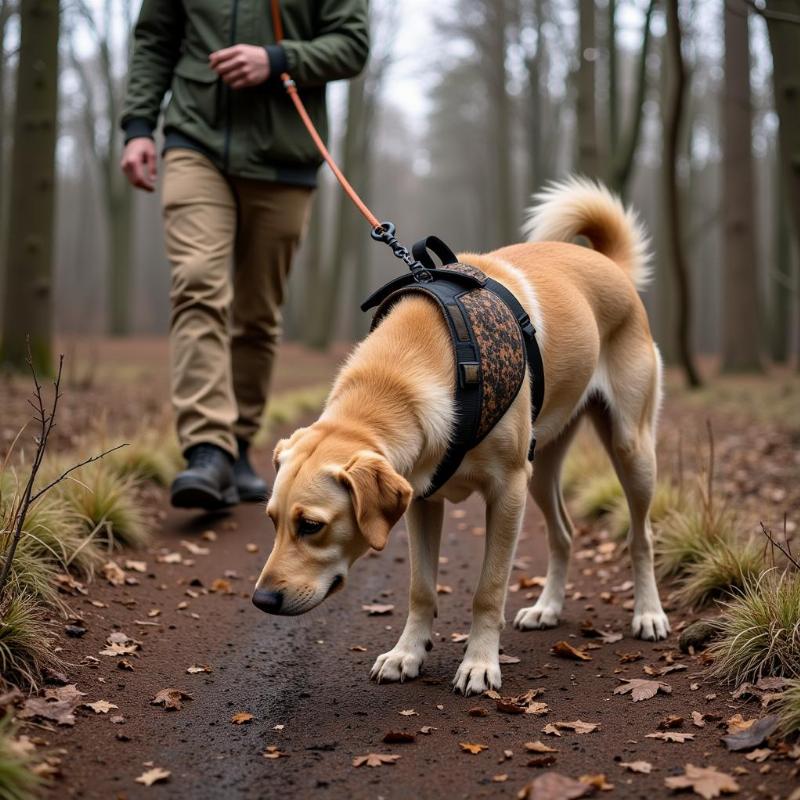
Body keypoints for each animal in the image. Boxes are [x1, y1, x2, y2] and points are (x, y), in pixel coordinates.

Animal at [253, 180, 672, 692]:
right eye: (272, 520)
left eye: (311, 525)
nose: (262, 601)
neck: (410, 367)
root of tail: (610, 265)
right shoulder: (420, 497)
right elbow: (420, 588)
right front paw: (407, 653)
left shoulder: (507, 491)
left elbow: (488, 591)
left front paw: (479, 663)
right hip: (541, 467)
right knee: (564, 534)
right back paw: (548, 608)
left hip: (629, 449)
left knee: (640, 537)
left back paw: (648, 614)